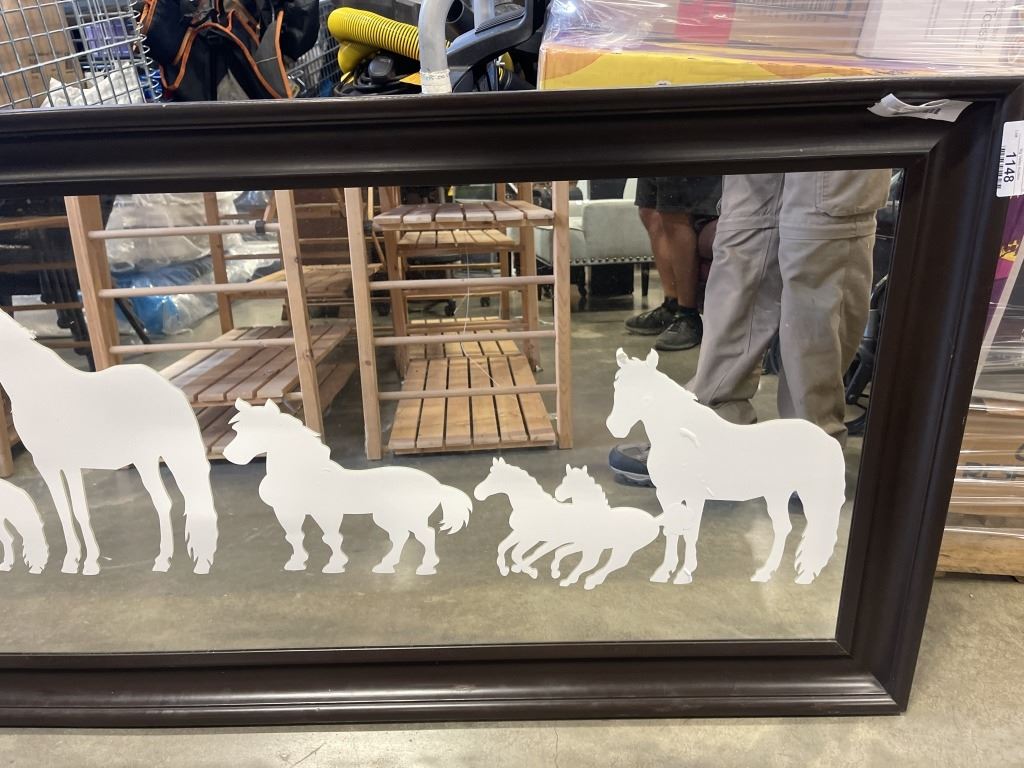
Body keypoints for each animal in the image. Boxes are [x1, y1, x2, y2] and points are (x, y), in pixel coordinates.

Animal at [0, 311, 217, 575]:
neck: (37, 388)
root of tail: (170, 389)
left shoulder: (60, 463)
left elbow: (74, 511)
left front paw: (84, 563)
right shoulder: (56, 464)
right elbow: (69, 511)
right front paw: (77, 561)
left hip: (160, 456)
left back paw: (170, 561)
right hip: (158, 457)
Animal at [223, 398, 472, 574]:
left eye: (257, 431)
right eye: (238, 430)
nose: (229, 455)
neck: (304, 473)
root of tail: (437, 486)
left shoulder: (326, 512)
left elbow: (331, 538)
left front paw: (334, 566)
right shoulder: (288, 511)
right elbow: (294, 537)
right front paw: (296, 563)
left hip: (409, 517)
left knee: (426, 536)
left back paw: (425, 568)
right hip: (389, 517)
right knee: (401, 538)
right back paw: (385, 566)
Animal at [606, 348, 845, 585]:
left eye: (646, 398)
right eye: (617, 388)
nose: (614, 427)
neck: (683, 436)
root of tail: (828, 440)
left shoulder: (694, 495)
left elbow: (690, 532)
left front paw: (684, 574)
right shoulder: (667, 494)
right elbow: (672, 530)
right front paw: (664, 572)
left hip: (809, 494)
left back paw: (802, 576)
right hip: (777, 494)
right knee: (785, 528)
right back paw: (766, 573)